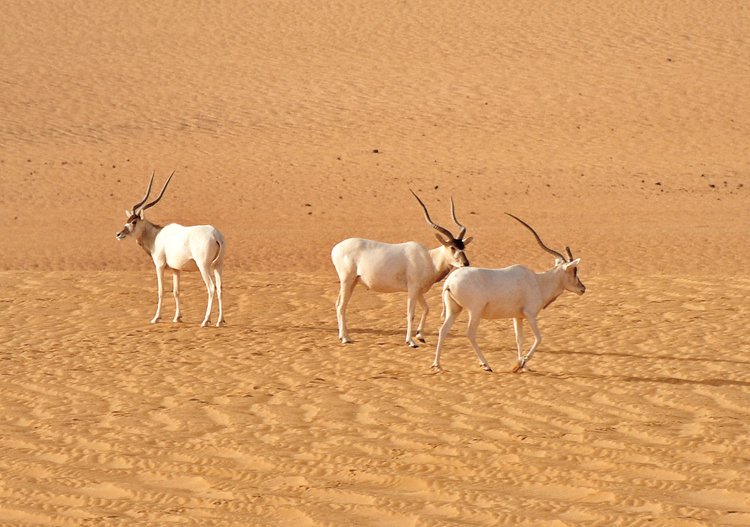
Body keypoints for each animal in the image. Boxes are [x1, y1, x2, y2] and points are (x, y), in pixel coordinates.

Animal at [114, 171, 226, 328]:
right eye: (128, 220)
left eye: (134, 221)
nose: (119, 234)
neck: (156, 235)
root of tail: (215, 235)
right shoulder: (176, 269)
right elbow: (176, 291)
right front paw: (177, 317)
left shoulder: (159, 266)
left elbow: (161, 291)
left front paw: (156, 318)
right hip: (218, 265)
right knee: (220, 288)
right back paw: (220, 321)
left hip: (203, 266)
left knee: (211, 288)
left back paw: (205, 321)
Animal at [332, 192, 472, 348]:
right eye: (452, 247)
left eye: (463, 247)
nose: (466, 263)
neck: (429, 258)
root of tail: (335, 248)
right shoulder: (412, 289)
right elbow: (411, 313)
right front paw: (411, 341)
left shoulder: (419, 291)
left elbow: (426, 308)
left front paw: (420, 336)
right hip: (347, 281)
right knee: (341, 306)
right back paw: (346, 338)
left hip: (352, 282)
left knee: (338, 304)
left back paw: (341, 336)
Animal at [434, 212, 588, 374]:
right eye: (574, 270)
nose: (582, 288)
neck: (538, 282)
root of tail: (449, 282)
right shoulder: (530, 315)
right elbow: (539, 338)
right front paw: (522, 363)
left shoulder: (517, 317)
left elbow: (519, 339)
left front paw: (521, 365)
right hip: (474, 311)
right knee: (470, 334)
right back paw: (486, 365)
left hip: (454, 309)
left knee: (443, 330)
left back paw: (437, 365)